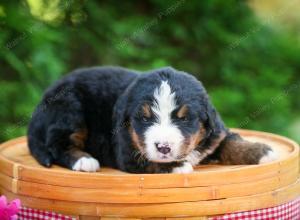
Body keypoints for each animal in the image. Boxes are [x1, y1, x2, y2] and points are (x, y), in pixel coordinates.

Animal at [27, 66, 276, 173]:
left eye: (184, 119)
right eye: (145, 119)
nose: (164, 147)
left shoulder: (216, 134)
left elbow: (230, 142)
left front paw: (261, 151)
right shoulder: (127, 151)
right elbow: (151, 161)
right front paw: (177, 166)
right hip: (70, 107)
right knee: (58, 144)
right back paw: (84, 160)